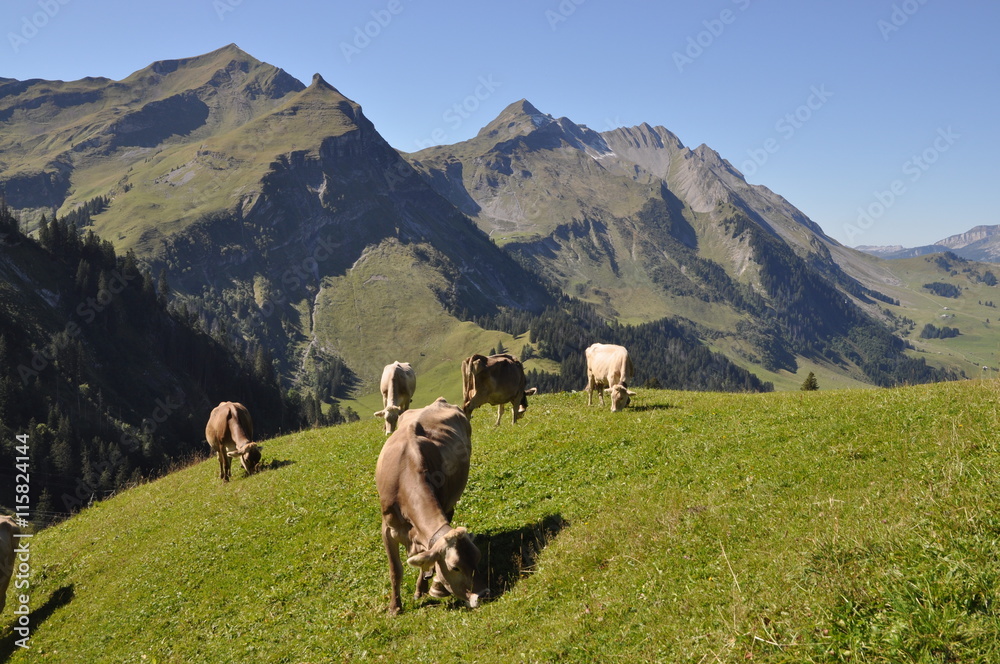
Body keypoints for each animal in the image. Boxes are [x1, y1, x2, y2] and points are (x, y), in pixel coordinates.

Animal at [376, 396, 484, 616]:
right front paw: (394, 607)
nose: (482, 594)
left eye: (477, 559)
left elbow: (426, 560)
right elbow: (395, 570)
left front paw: (428, 587)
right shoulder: (387, 528)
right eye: (455, 567)